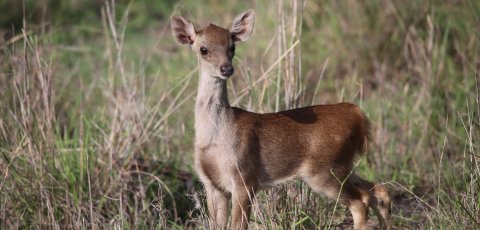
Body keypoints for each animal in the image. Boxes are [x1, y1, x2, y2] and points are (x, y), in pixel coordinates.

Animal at [171, 9, 392, 230]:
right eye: (204, 49)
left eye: (231, 47)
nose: (226, 69)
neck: (217, 136)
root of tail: (357, 114)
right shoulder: (211, 184)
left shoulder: (244, 177)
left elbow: (238, 225)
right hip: (343, 165)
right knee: (377, 191)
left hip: (324, 169)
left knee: (361, 201)